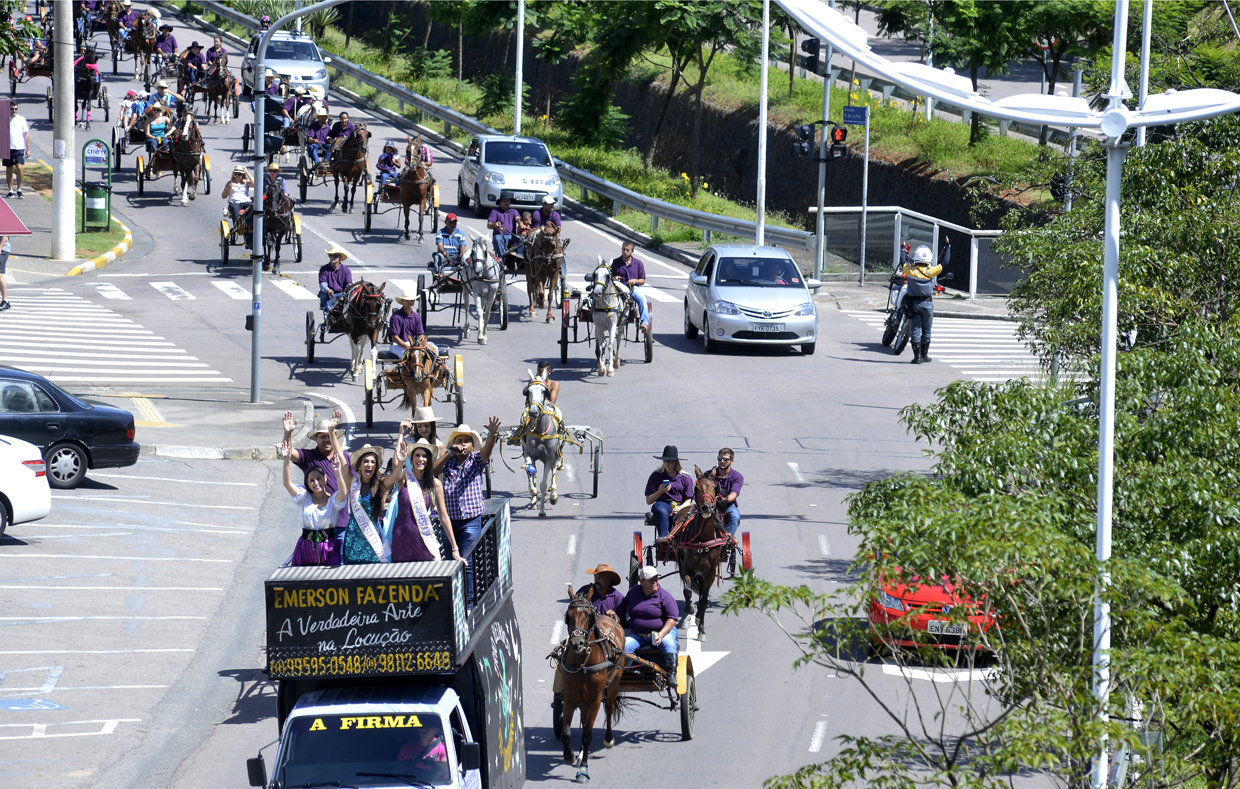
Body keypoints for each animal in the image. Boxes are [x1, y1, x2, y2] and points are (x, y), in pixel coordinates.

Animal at [555, 595, 624, 779]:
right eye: (568, 615)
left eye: (587, 615)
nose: (576, 643)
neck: (583, 663)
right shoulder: (570, 698)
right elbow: (566, 733)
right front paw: (569, 755)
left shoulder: (595, 700)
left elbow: (587, 734)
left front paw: (583, 769)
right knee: (584, 717)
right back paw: (579, 753)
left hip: (614, 684)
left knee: (609, 707)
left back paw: (608, 739)